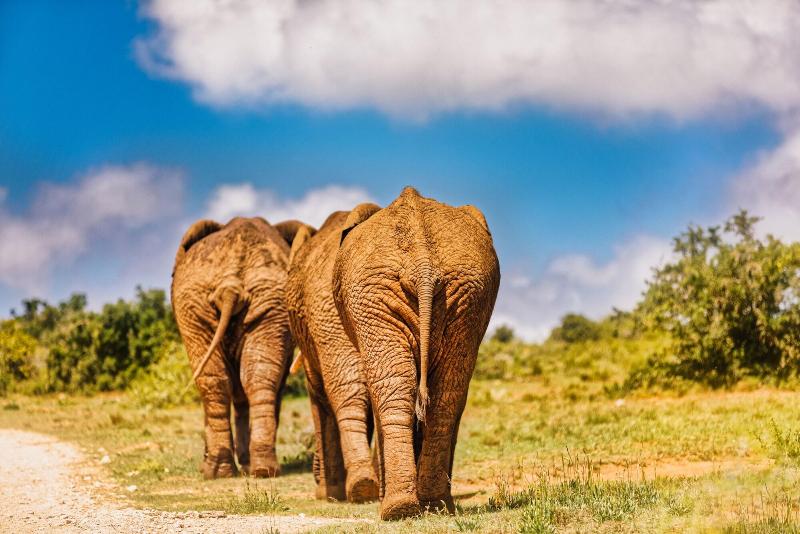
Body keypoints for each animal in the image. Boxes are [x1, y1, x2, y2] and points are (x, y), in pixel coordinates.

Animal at [171, 216, 314, 479]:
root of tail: (231, 284)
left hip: (260, 300)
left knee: (228, 380)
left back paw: (230, 471)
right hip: (206, 300)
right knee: (243, 379)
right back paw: (251, 470)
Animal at [332, 187, 500, 520]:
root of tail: (423, 263)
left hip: (376, 295)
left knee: (395, 388)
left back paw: (397, 509)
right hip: (467, 293)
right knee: (445, 393)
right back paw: (431, 505)